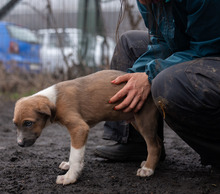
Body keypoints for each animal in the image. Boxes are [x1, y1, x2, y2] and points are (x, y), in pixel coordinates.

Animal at [13, 69, 162, 185]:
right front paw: (71, 167)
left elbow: (75, 154)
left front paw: (69, 177)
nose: (19, 144)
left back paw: (148, 169)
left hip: (144, 119)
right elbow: (76, 153)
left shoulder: (79, 128)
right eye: (15, 124)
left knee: (153, 145)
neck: (54, 99)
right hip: (135, 120)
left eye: (28, 123)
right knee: (158, 142)